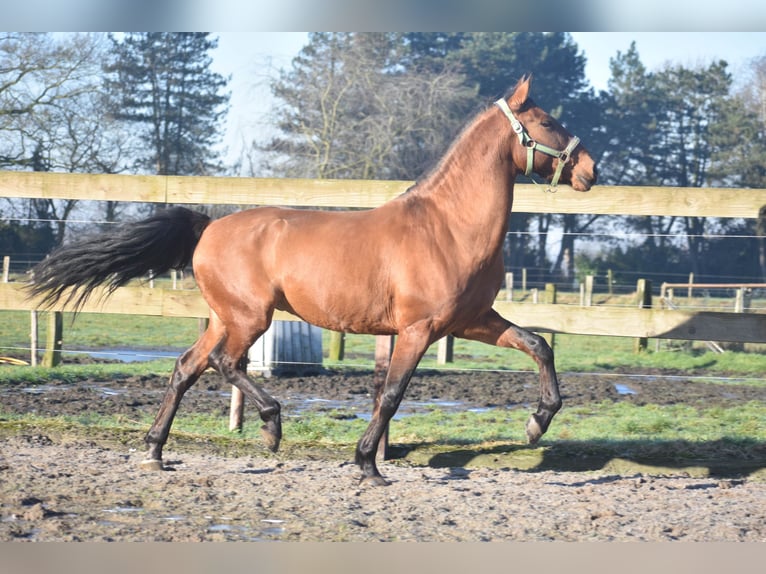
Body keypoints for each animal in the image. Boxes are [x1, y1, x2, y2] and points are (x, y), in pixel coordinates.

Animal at [31, 76, 600, 488]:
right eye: (547, 120)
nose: (590, 170)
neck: (448, 227)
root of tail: (210, 226)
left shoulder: (469, 321)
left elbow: (538, 345)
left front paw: (537, 422)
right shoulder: (417, 330)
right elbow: (391, 394)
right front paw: (367, 465)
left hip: (223, 317)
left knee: (186, 368)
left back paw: (154, 451)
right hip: (249, 317)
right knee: (224, 364)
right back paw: (270, 426)